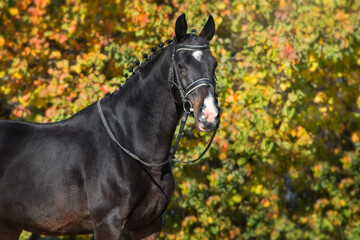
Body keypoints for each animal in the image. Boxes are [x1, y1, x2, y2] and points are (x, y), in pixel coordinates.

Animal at [0, 14, 219, 239]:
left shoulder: (149, 225)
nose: (209, 115)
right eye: (181, 65)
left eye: (214, 65)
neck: (129, 142)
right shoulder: (108, 223)